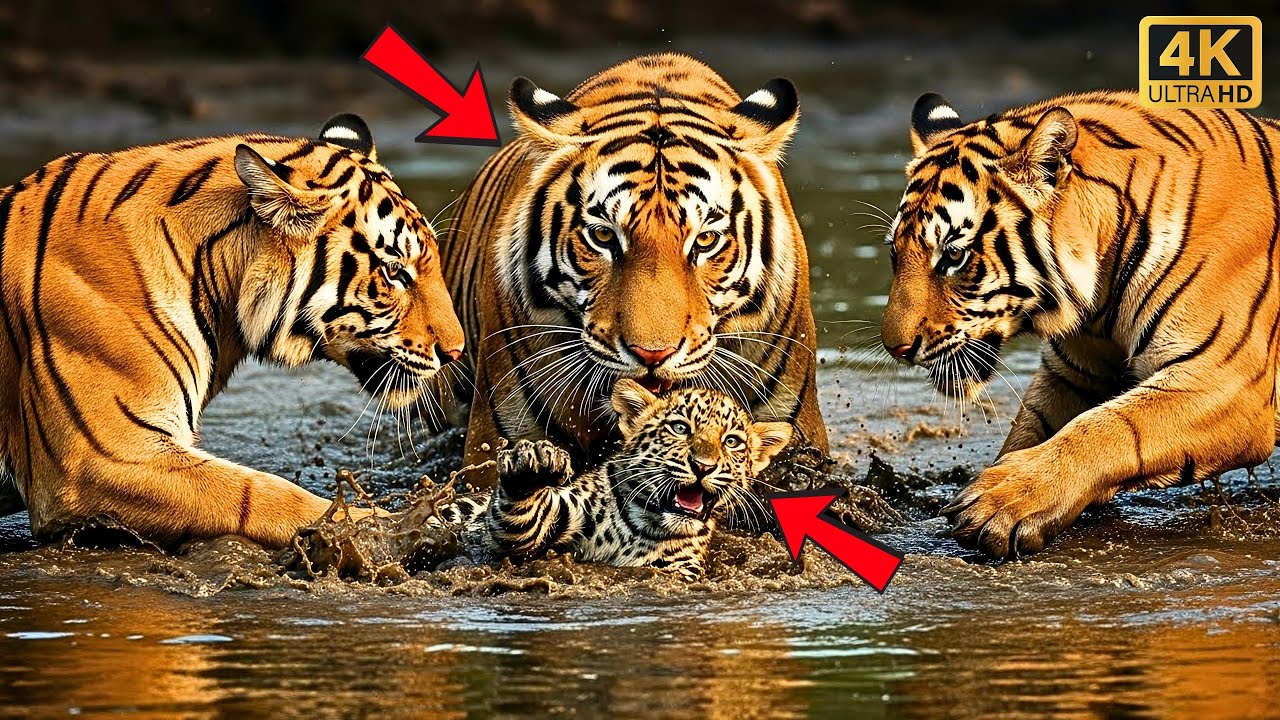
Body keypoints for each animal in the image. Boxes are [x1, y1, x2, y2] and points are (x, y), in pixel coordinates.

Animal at [440, 379, 793, 579]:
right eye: (680, 428)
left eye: (731, 442)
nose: (703, 466)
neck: (643, 526)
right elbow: (521, 523)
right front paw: (536, 465)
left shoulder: (679, 566)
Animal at [881, 90, 1280, 558]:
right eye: (895, 253)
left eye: (954, 256)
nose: (895, 347)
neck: (1102, 297)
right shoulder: (1073, 373)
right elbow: (1033, 429)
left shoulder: (1227, 380)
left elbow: (1107, 428)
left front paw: (999, 500)